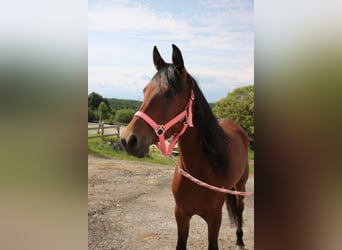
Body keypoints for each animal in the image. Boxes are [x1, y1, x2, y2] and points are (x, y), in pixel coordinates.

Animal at [121, 44, 250, 249]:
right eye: (144, 90)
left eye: (169, 93)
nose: (128, 139)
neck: (199, 171)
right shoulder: (181, 215)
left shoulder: (214, 219)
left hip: (240, 187)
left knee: (239, 210)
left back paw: (239, 238)